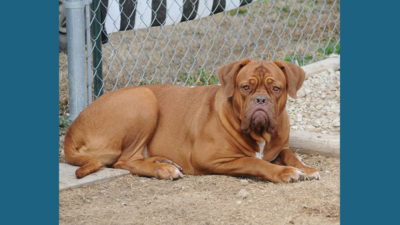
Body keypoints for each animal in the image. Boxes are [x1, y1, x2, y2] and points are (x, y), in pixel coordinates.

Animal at [66, 58, 322, 183]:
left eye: (276, 88)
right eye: (245, 87)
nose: (260, 99)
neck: (260, 133)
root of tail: (71, 132)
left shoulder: (279, 147)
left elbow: (290, 154)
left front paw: (306, 169)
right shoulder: (210, 157)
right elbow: (255, 162)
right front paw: (285, 173)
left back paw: (165, 162)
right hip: (144, 99)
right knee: (124, 161)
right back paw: (163, 170)